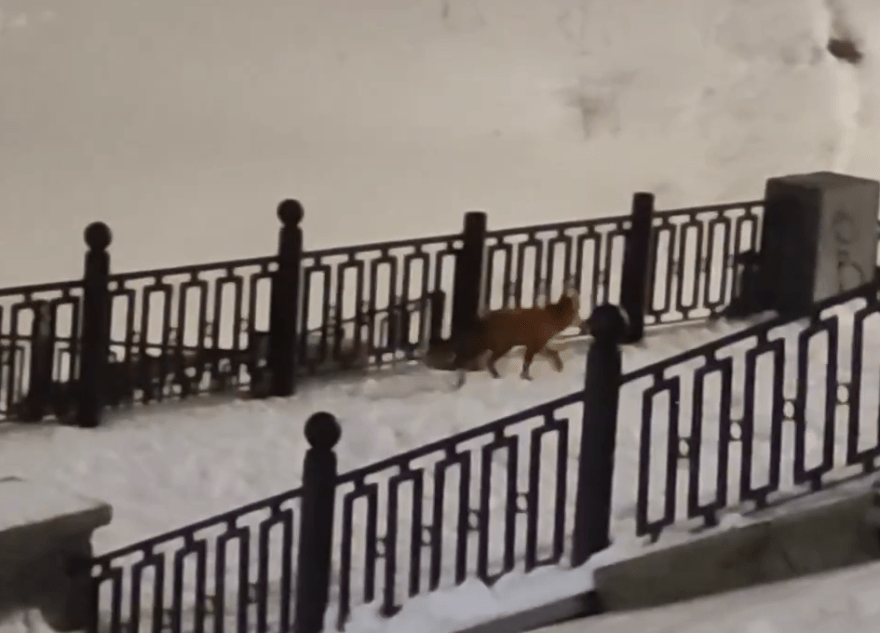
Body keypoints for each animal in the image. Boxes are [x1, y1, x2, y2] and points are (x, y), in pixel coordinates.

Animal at [452, 288, 583, 389]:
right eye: (577, 310)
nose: (582, 323)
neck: (551, 319)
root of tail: (484, 320)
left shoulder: (539, 345)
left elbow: (553, 353)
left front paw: (560, 367)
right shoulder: (534, 345)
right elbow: (527, 362)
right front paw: (527, 378)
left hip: (490, 345)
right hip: (501, 347)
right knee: (485, 361)